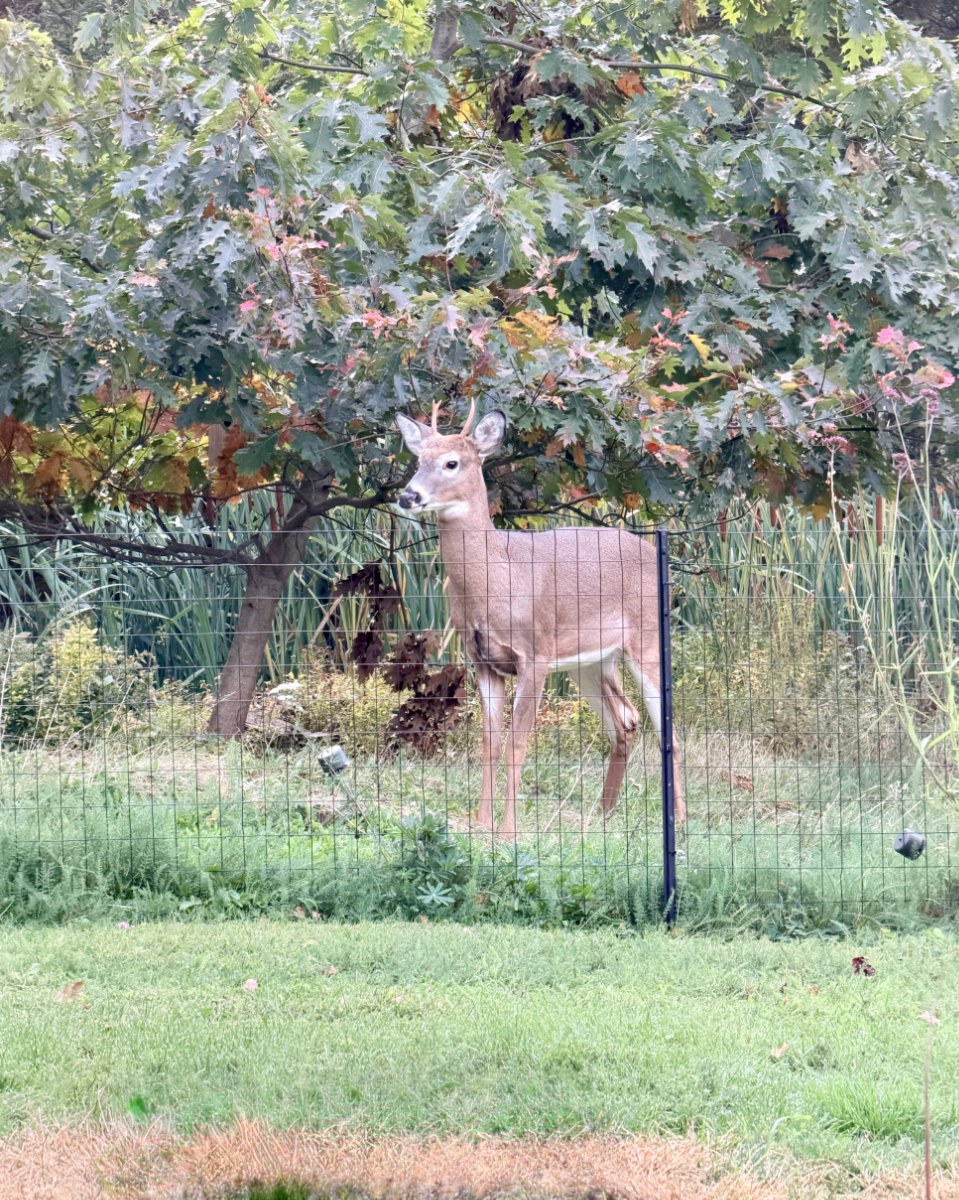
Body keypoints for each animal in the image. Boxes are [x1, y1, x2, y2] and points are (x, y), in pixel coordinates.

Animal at [396, 402, 685, 838]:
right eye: (418, 460)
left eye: (451, 463)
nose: (408, 495)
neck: (497, 579)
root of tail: (657, 556)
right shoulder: (482, 659)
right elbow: (489, 742)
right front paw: (482, 824)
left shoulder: (536, 654)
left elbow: (517, 744)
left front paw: (508, 832)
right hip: (591, 662)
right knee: (626, 720)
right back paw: (604, 813)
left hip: (647, 639)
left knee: (667, 727)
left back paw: (679, 820)